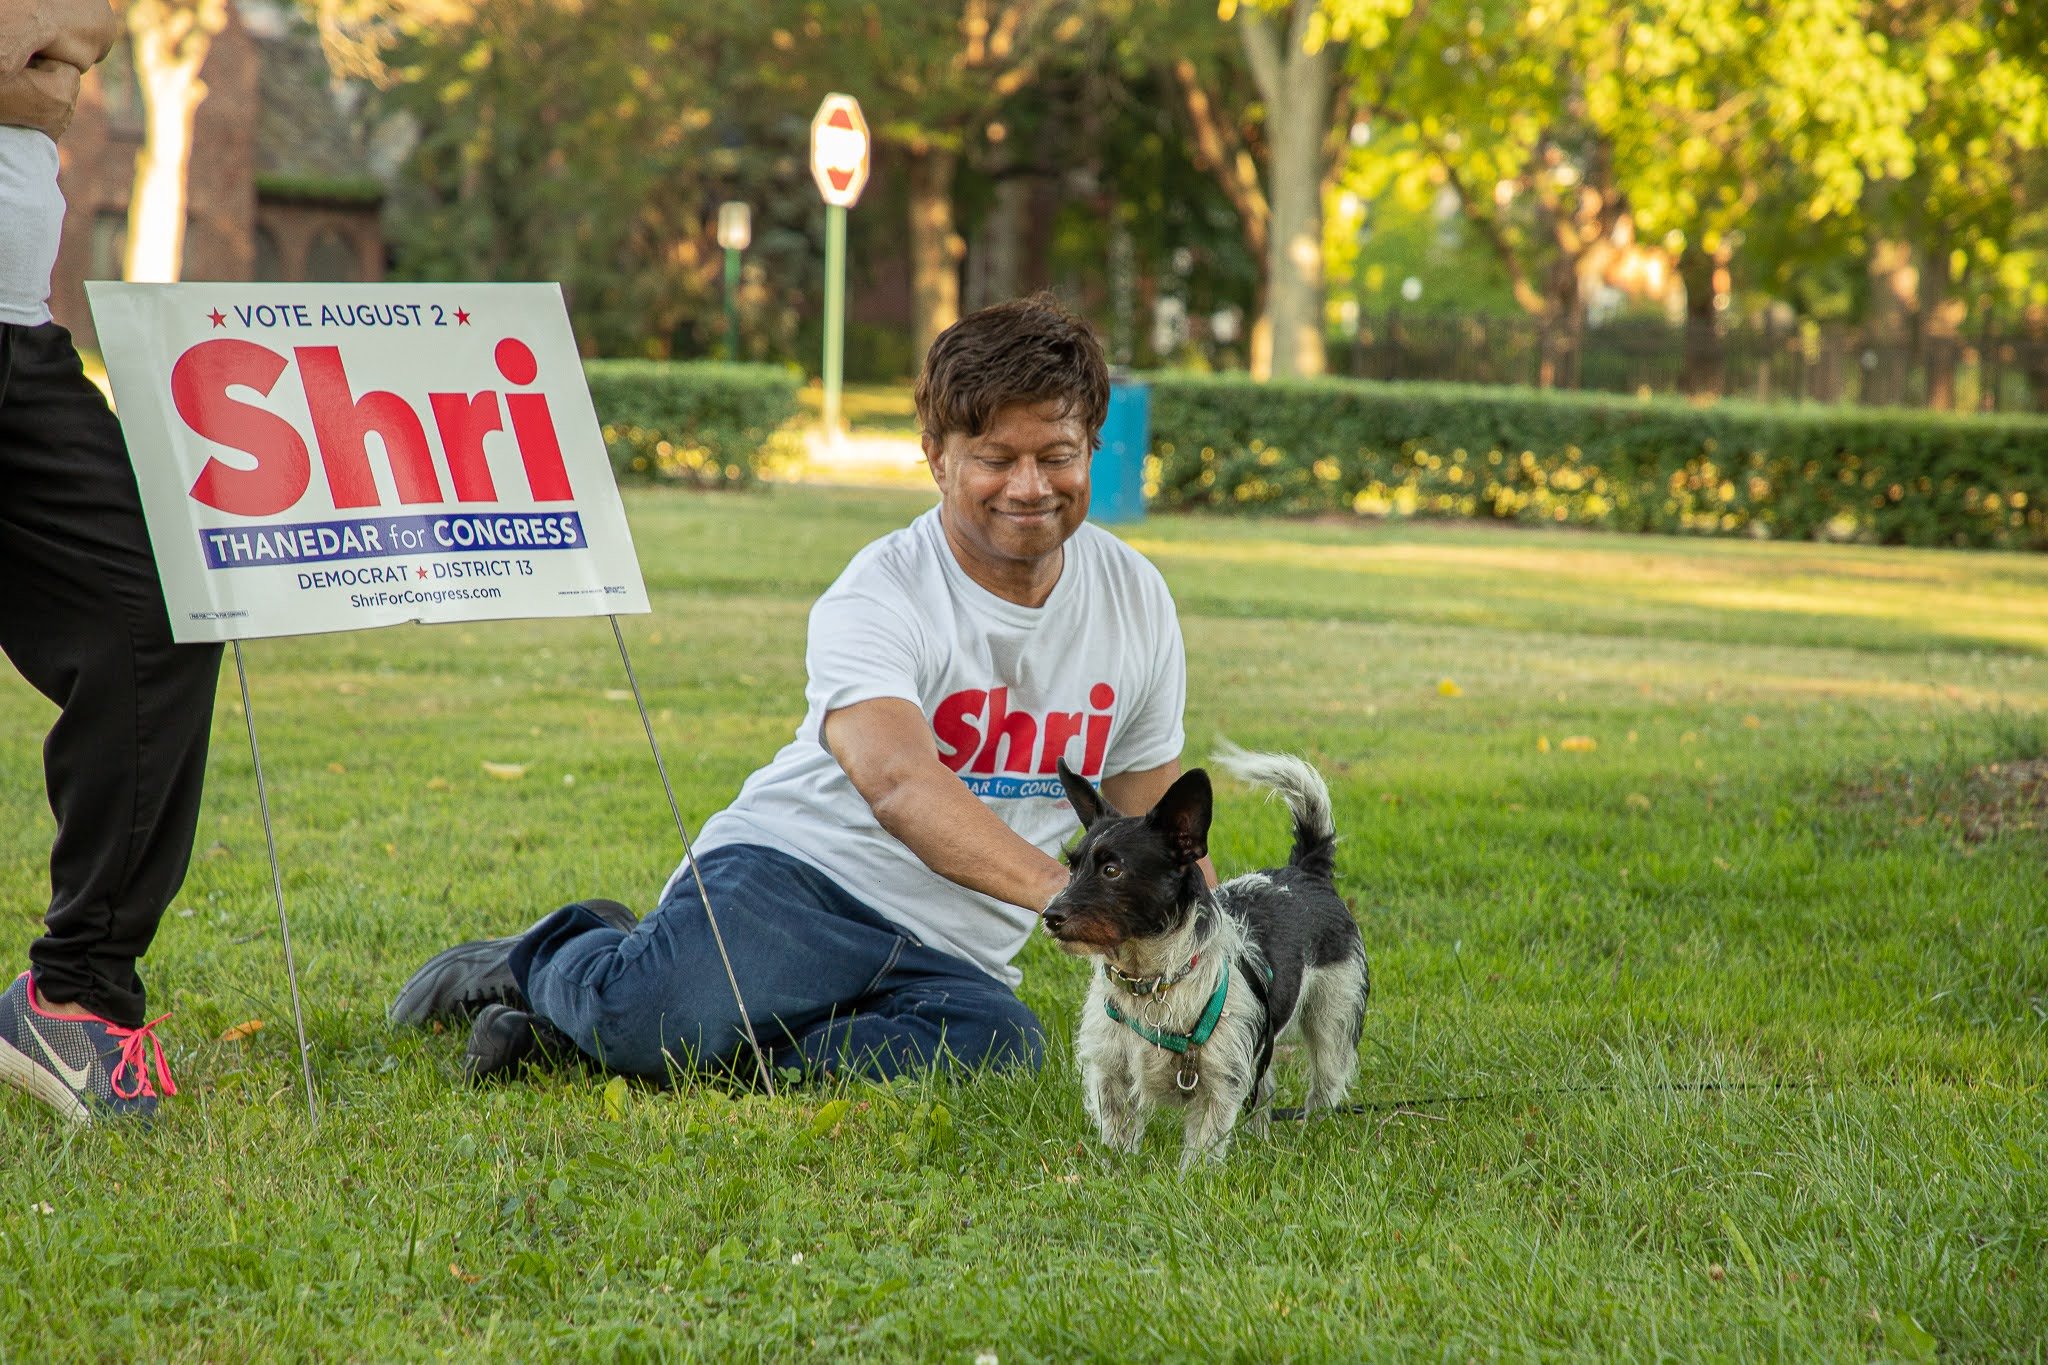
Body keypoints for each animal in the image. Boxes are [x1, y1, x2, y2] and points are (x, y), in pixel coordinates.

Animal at [1048, 740, 1368, 1170]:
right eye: (1072, 866)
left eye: (1112, 870)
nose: (1050, 916)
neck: (1150, 981)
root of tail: (1306, 871)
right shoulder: (1110, 1072)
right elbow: (1117, 1134)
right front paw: (1115, 1172)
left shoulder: (1218, 1079)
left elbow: (1203, 1144)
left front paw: (1192, 1180)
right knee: (1265, 1088)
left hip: (1333, 1018)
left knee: (1326, 1084)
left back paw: (1312, 1129)